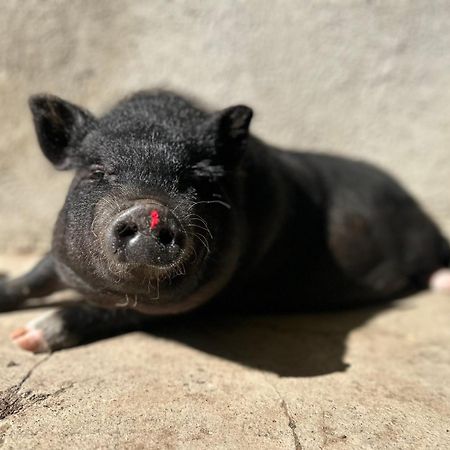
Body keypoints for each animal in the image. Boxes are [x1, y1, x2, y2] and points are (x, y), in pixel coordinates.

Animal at [0, 91, 450, 352]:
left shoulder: (199, 298)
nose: (149, 210)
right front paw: (15, 321)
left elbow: (101, 312)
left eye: (197, 179)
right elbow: (34, 276)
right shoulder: (59, 257)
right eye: (96, 171)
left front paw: (24, 339)